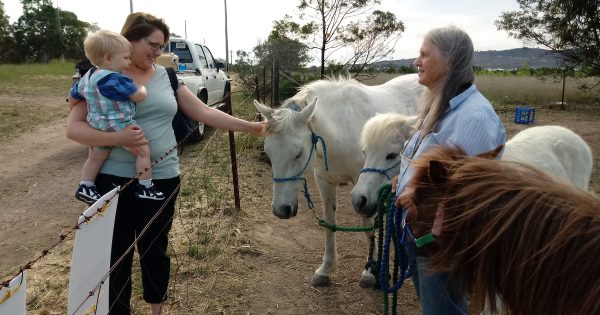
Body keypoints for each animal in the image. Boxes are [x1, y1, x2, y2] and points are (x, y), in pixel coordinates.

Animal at [253, 74, 422, 288]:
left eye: (298, 153)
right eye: (268, 152)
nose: (281, 210)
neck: (341, 129)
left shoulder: (365, 187)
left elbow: (368, 225)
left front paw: (370, 272)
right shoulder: (324, 182)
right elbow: (329, 224)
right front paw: (326, 270)